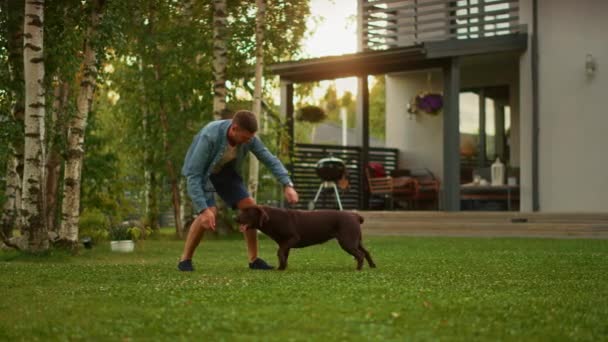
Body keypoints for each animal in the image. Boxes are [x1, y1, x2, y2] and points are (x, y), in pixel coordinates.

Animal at [234, 204, 372, 272]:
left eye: (247, 211)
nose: (235, 218)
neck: (272, 219)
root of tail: (355, 216)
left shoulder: (293, 238)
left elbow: (279, 252)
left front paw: (281, 267)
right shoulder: (284, 243)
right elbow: (283, 255)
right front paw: (282, 268)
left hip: (347, 242)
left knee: (360, 255)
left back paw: (358, 269)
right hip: (355, 241)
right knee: (366, 252)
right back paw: (372, 266)